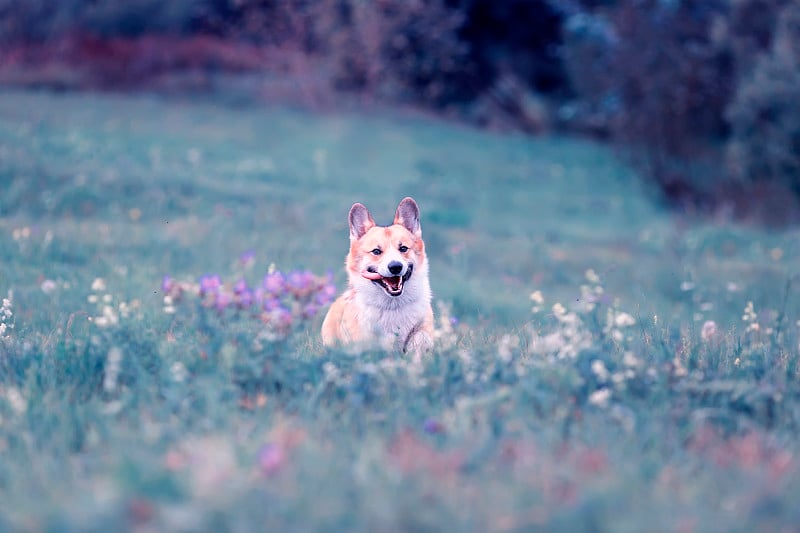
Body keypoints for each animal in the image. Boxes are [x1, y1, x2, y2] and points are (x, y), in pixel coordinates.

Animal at [320, 197, 434, 352]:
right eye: (376, 251)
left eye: (403, 248)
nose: (395, 267)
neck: (392, 305)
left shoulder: (422, 331)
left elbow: (419, 339)